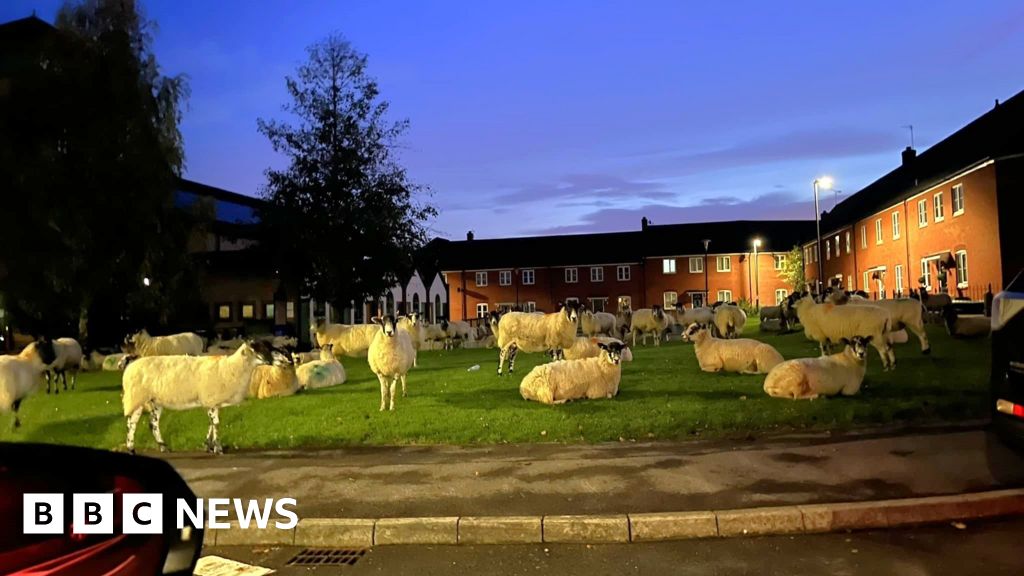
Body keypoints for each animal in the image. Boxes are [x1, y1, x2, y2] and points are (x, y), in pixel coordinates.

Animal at [122, 336, 276, 453]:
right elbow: (216, 424)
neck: (230, 367)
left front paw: (209, 445)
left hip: (154, 401)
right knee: (131, 423)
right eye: (257, 348)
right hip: (136, 397)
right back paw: (131, 448)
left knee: (151, 423)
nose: (273, 361)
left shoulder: (212, 401)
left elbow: (211, 424)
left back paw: (161, 447)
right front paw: (218, 448)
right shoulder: (211, 398)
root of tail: (130, 367)